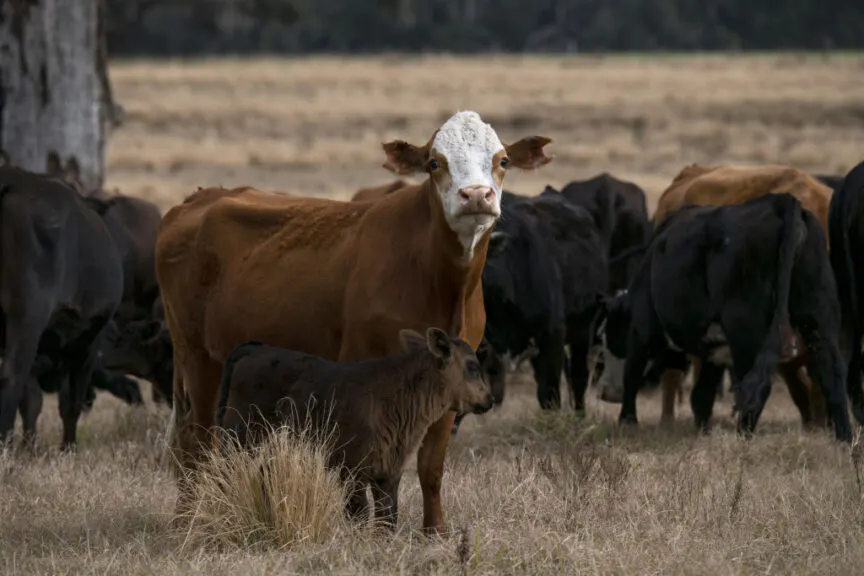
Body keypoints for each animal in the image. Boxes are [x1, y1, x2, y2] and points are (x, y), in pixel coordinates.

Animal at [0, 163, 124, 447]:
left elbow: (32, 401)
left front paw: (29, 447)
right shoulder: (89, 339)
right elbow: (70, 401)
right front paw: (68, 447)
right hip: (26, 319)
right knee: (10, 378)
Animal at [217, 327, 494, 530]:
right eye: (472, 366)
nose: (490, 399)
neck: (399, 397)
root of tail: (254, 349)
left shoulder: (389, 473)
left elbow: (387, 517)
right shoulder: (352, 470)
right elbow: (360, 514)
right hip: (237, 439)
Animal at [595, 193, 850, 441]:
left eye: (608, 339)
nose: (604, 392)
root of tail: (780, 202)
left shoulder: (641, 330)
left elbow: (631, 374)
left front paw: (627, 422)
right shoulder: (714, 350)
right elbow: (701, 396)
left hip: (746, 330)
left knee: (756, 387)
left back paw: (743, 438)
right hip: (818, 316)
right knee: (833, 373)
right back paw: (845, 440)